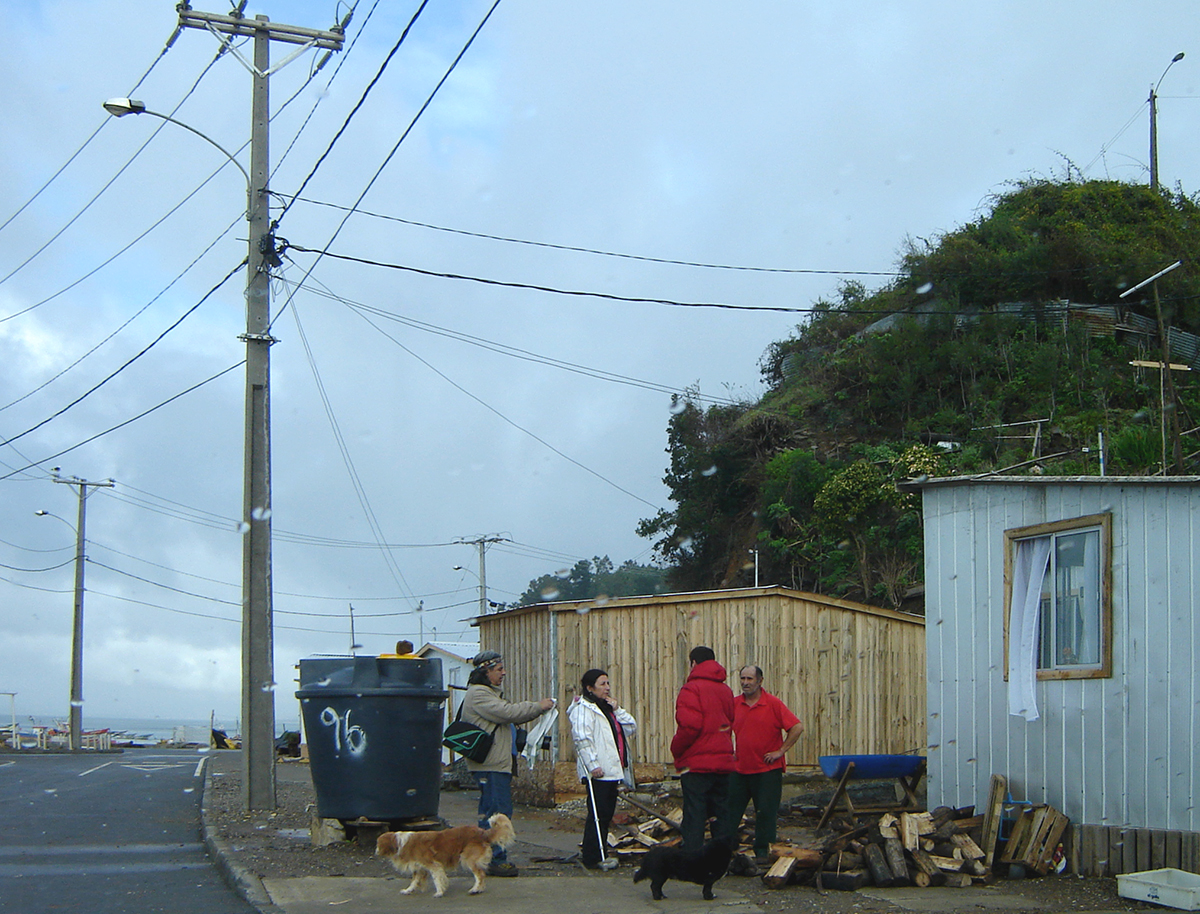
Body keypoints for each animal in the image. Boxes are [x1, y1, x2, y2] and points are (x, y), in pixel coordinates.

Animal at [369, 806, 511, 892]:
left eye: (378, 844)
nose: (375, 852)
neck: (400, 843)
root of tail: (483, 832)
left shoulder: (433, 865)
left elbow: (437, 879)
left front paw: (439, 892)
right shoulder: (418, 867)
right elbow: (414, 881)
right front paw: (408, 890)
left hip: (468, 859)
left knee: (480, 875)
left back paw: (475, 890)